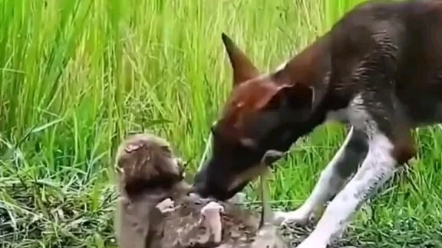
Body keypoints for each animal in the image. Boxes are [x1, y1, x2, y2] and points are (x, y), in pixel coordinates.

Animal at [194, 0, 442, 247]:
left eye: (246, 149)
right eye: (214, 132)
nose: (199, 188)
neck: (334, 65)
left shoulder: (393, 146)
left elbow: (342, 200)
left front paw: (314, 241)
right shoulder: (360, 133)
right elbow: (329, 176)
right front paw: (300, 215)